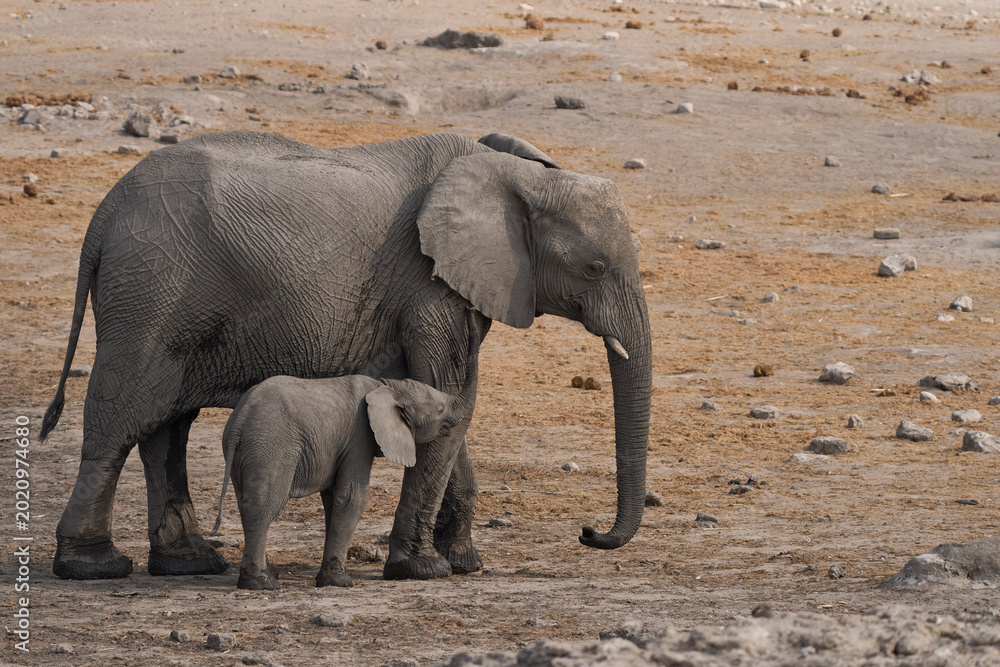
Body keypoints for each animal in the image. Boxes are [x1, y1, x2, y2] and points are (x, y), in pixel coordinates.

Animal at [213, 311, 479, 590]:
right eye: (440, 410)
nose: (471, 312)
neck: (388, 386)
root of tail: (239, 421)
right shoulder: (359, 436)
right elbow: (352, 497)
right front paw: (340, 581)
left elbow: (333, 500)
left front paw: (329, 578)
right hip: (271, 448)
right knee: (263, 505)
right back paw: (261, 583)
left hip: (244, 454)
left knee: (246, 502)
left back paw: (264, 576)